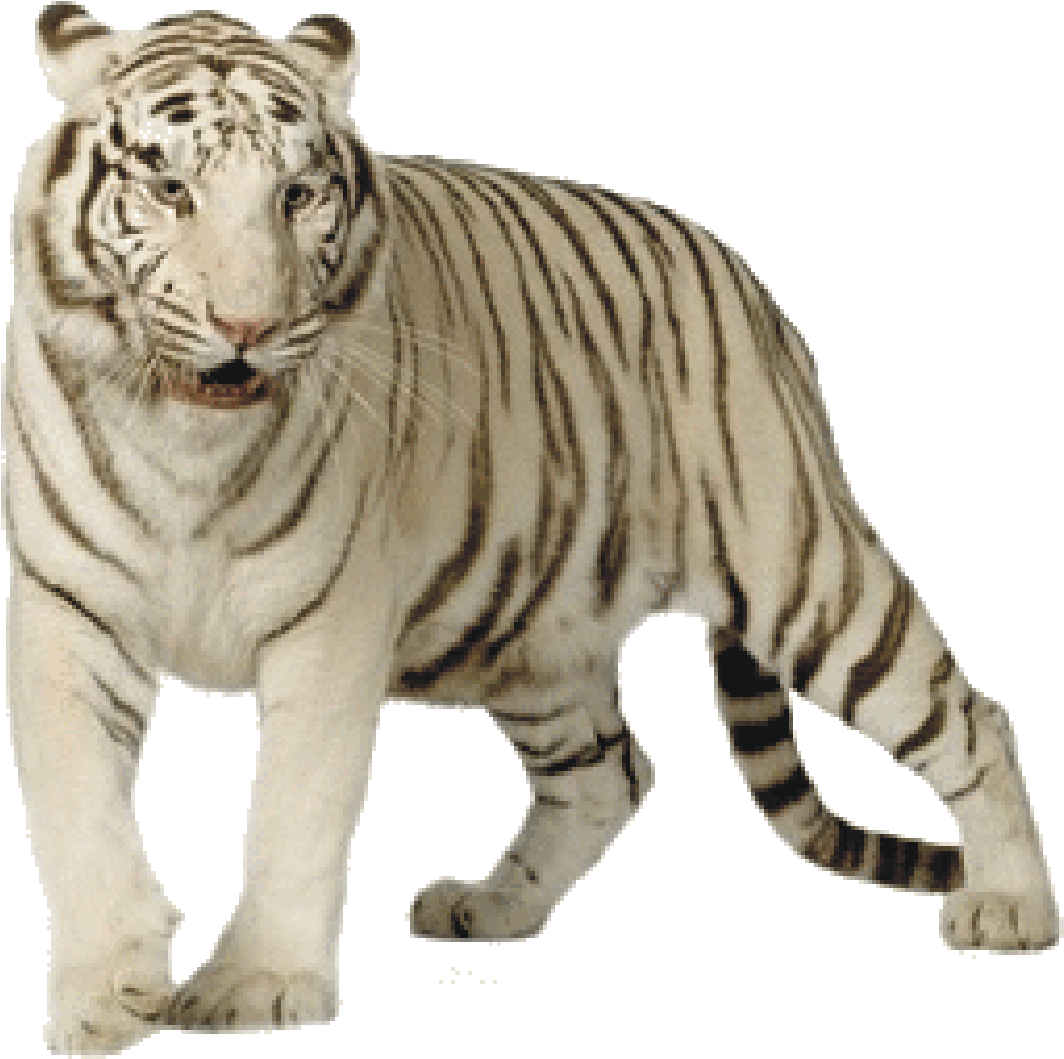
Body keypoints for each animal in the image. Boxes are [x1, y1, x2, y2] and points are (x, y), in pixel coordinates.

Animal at [5, 3, 1057, 1052]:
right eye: (168, 190)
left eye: (298, 194)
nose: (248, 327)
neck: (185, 442)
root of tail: (745, 278)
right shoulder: (67, 614)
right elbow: (78, 808)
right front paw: (107, 991)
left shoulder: (327, 627)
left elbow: (293, 811)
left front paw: (257, 983)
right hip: (522, 631)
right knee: (611, 769)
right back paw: (492, 903)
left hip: (798, 572)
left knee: (974, 718)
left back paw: (1011, 905)